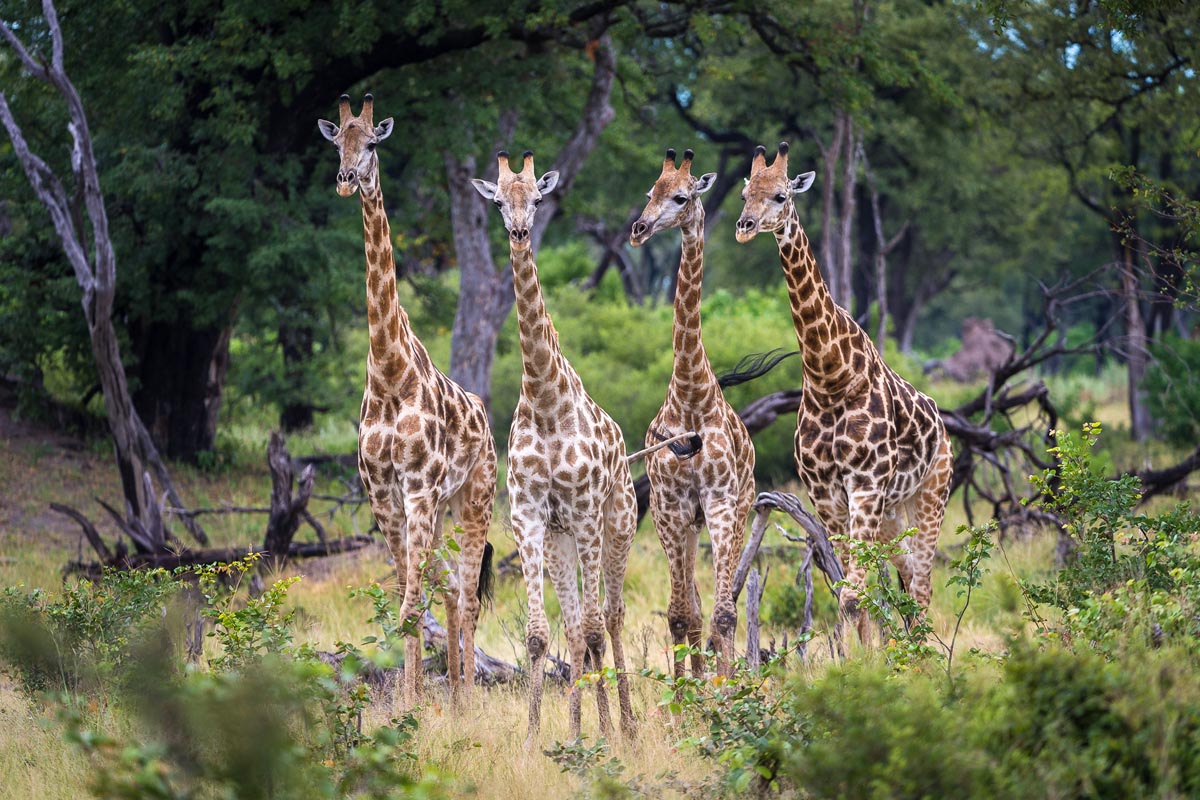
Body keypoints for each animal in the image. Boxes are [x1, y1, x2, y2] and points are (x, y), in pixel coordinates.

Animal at [318, 95, 497, 704]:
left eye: (372, 141)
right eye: (336, 141)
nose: (346, 180)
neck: (389, 373)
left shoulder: (418, 488)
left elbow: (411, 605)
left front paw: (420, 703)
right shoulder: (383, 495)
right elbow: (407, 601)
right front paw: (413, 702)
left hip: (474, 498)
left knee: (465, 595)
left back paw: (467, 696)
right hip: (441, 508)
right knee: (448, 590)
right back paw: (458, 695)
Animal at [472, 150, 637, 746]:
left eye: (539, 199)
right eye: (499, 200)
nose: (520, 232)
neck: (544, 399)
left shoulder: (587, 514)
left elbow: (592, 628)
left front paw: (601, 732)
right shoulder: (528, 517)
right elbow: (542, 635)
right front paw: (538, 736)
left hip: (616, 526)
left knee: (609, 617)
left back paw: (626, 726)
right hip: (563, 540)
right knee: (575, 625)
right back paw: (587, 725)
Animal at [734, 142, 952, 643]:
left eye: (780, 195)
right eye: (744, 193)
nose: (744, 227)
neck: (830, 375)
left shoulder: (866, 485)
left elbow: (855, 595)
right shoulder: (827, 495)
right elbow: (850, 595)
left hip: (931, 496)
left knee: (924, 586)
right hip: (892, 514)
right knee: (908, 580)